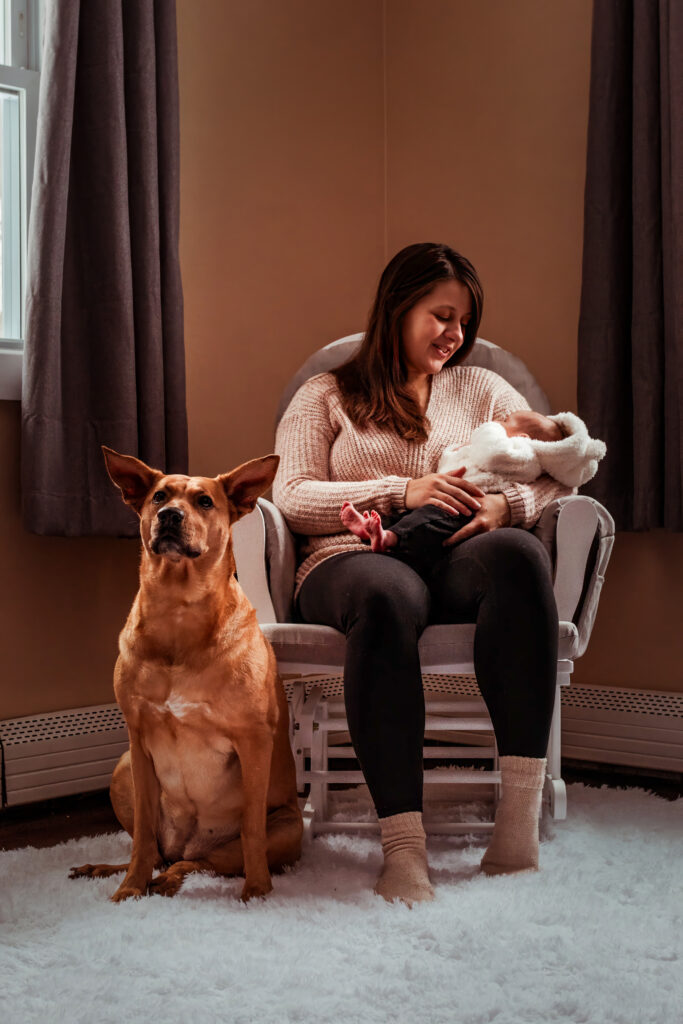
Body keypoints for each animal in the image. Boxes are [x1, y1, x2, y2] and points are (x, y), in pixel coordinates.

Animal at [70, 448, 303, 905]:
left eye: (205, 501)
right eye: (159, 496)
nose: (170, 516)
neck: (178, 608)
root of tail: (189, 844)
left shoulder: (254, 740)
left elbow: (251, 829)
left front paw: (257, 890)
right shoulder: (138, 741)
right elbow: (143, 835)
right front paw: (129, 887)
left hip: (288, 827)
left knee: (205, 861)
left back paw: (176, 878)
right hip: (123, 769)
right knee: (161, 853)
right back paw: (114, 870)